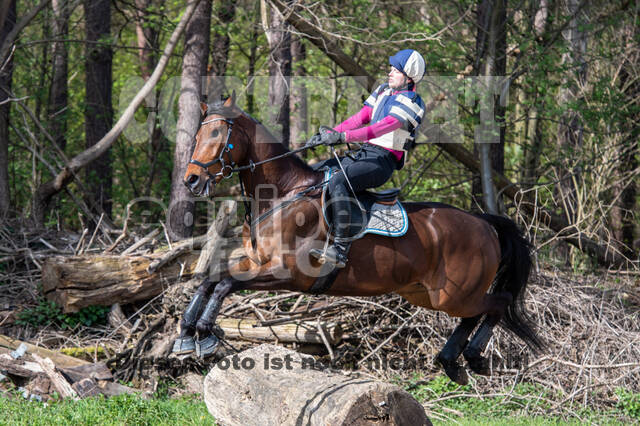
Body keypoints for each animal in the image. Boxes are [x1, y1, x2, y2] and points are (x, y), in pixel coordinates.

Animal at [174, 94, 540, 386]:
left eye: (217, 134)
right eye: (199, 133)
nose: (190, 180)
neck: (284, 195)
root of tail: (482, 222)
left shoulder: (286, 272)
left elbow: (224, 285)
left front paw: (204, 331)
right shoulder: (256, 262)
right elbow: (211, 280)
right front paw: (186, 335)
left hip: (453, 295)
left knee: (498, 302)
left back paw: (473, 356)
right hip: (428, 294)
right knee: (477, 312)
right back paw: (452, 361)